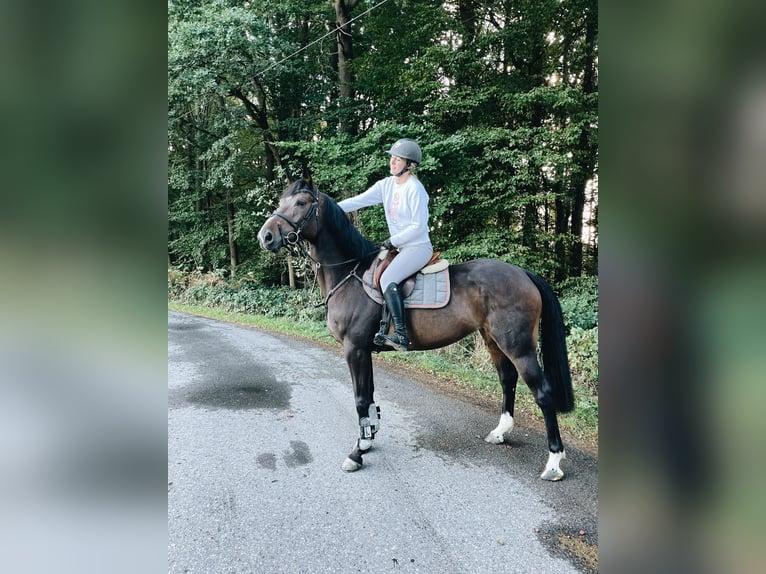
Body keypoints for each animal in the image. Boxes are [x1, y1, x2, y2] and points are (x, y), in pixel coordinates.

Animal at [258, 178, 575, 480]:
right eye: (282, 201)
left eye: (300, 203)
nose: (266, 237)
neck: (350, 274)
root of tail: (524, 274)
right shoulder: (365, 351)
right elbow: (369, 396)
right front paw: (368, 440)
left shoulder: (354, 349)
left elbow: (360, 399)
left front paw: (356, 453)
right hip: (492, 340)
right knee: (507, 379)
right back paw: (500, 432)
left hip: (519, 346)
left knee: (542, 393)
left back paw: (554, 462)